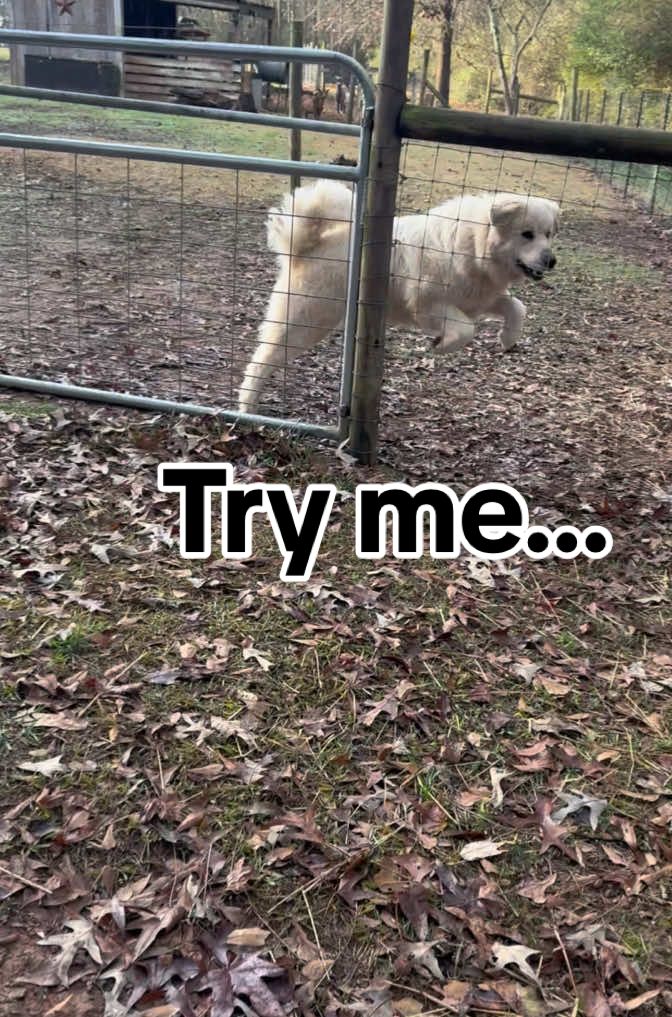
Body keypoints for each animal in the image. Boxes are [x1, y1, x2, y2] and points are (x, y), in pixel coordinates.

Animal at [238, 180, 557, 412]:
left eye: (549, 234)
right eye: (527, 234)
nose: (552, 260)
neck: (472, 243)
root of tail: (306, 246)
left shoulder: (481, 299)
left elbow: (516, 307)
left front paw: (508, 338)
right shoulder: (429, 305)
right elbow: (466, 330)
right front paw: (441, 346)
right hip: (307, 323)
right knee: (262, 360)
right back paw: (247, 406)